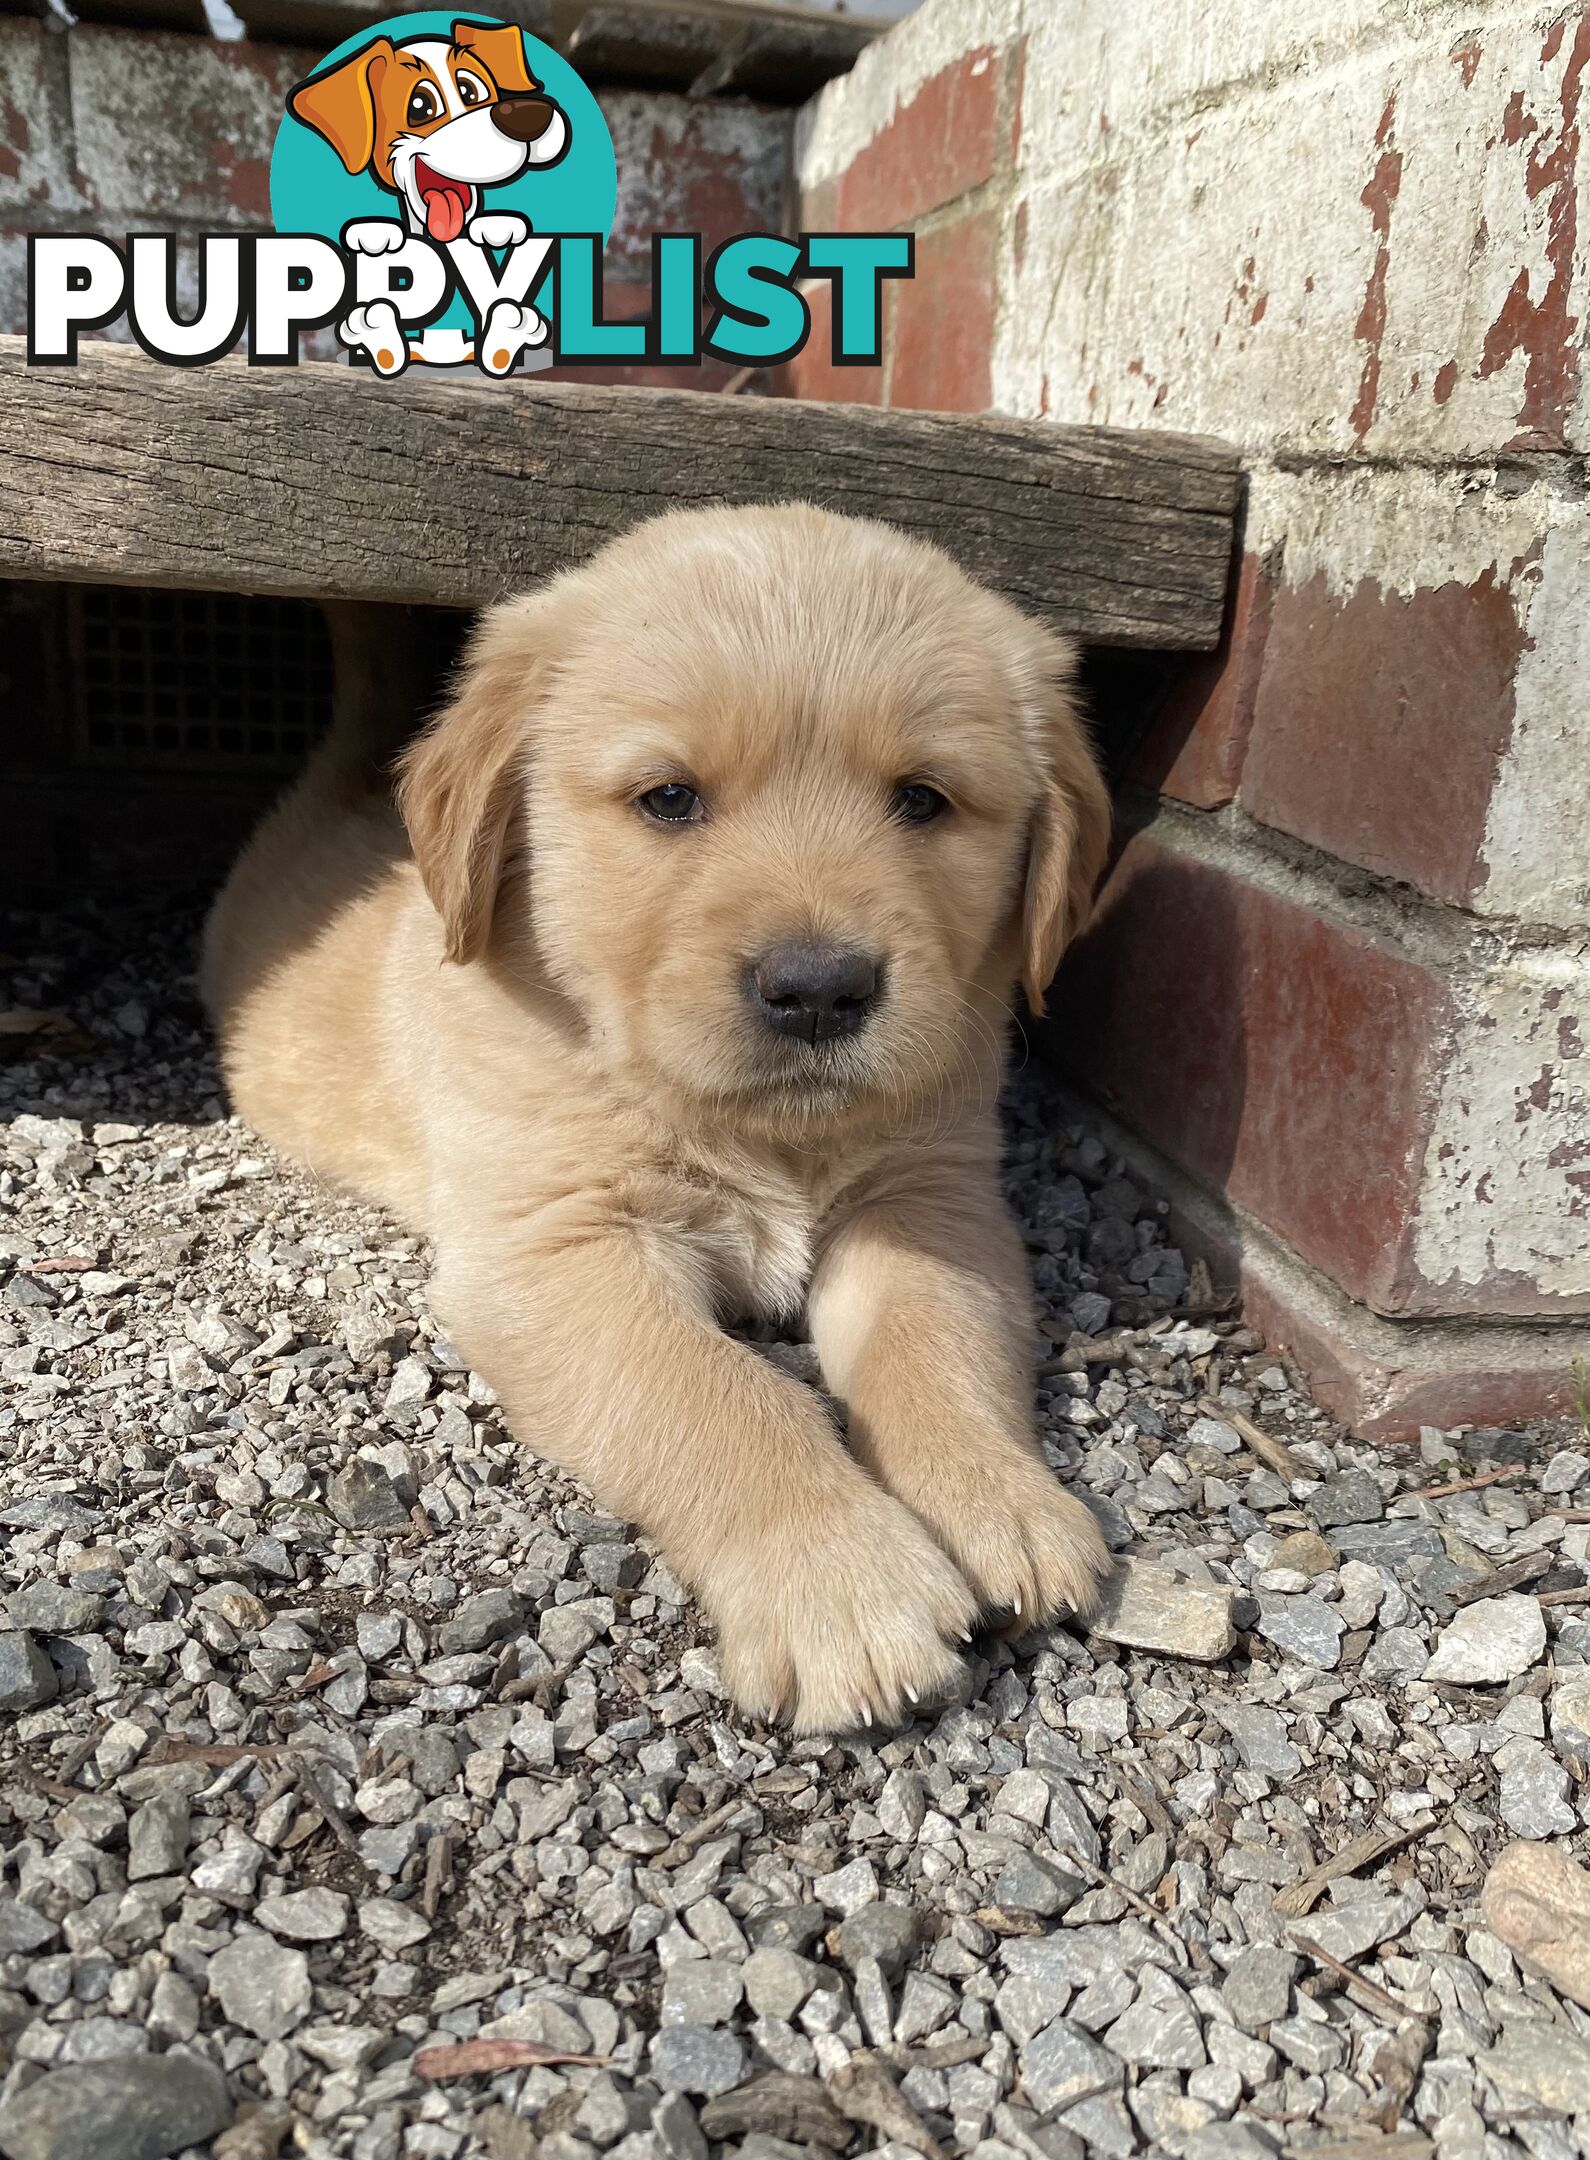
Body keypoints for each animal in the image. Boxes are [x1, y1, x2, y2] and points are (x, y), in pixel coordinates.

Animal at [205, 496, 1114, 1728]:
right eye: (669, 798)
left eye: (923, 800)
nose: (819, 988)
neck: (751, 1125)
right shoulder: (559, 1246)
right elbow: (719, 1395)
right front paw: (843, 1581)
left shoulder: (929, 1199)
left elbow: (936, 1341)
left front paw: (997, 1500)